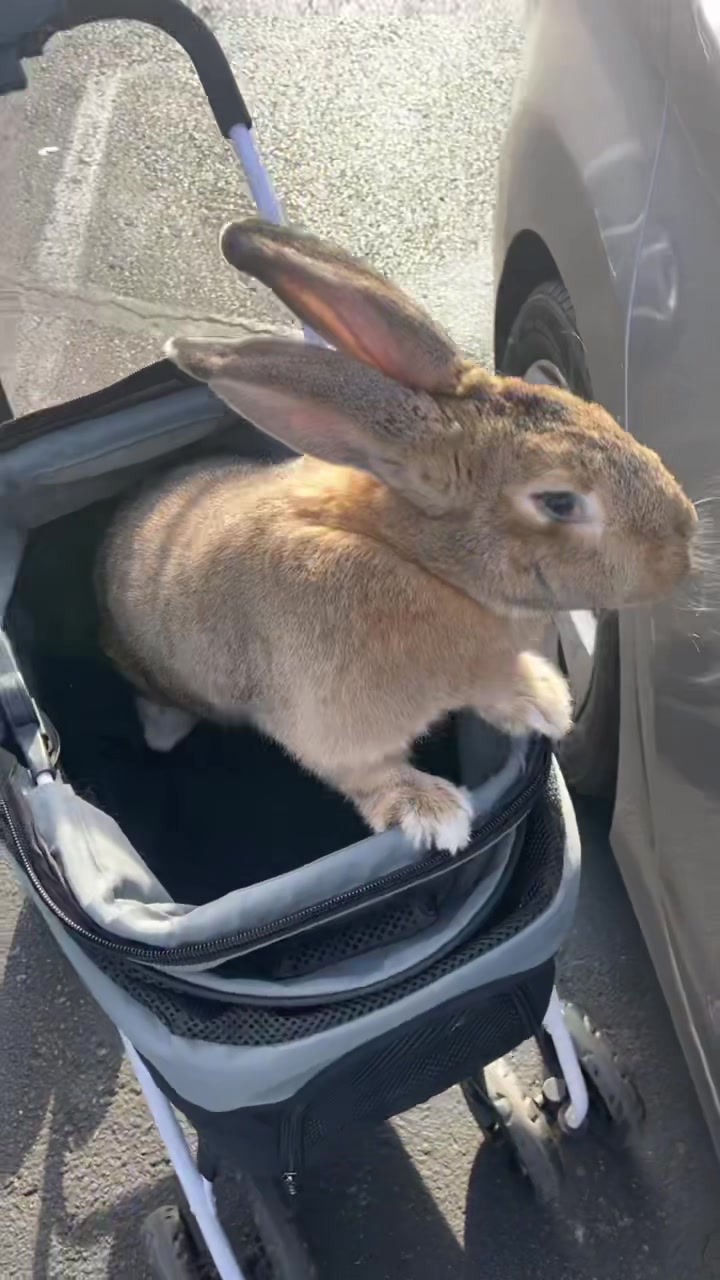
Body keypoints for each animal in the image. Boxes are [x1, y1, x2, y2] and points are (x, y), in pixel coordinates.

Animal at [96, 218, 697, 855]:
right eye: (559, 502)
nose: (683, 547)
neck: (419, 559)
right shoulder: (334, 728)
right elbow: (369, 773)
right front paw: (433, 813)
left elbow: (499, 688)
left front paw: (544, 702)